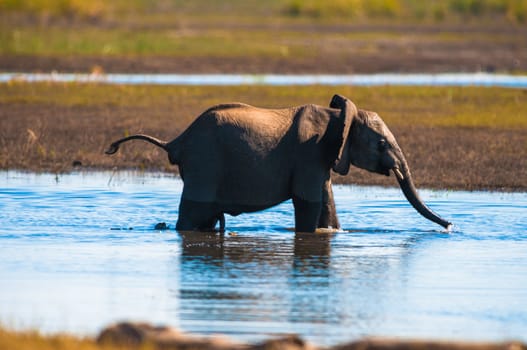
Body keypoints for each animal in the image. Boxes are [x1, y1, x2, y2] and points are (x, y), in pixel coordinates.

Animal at [105, 94, 452, 234]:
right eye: (381, 144)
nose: (450, 226)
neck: (338, 116)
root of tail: (177, 141)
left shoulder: (320, 159)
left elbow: (326, 202)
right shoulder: (309, 153)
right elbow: (308, 203)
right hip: (205, 165)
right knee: (191, 216)